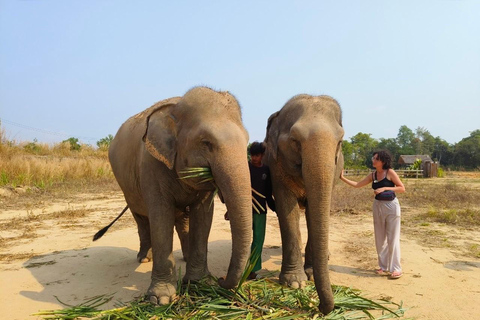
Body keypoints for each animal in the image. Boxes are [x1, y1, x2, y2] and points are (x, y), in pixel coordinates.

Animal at [107, 87, 253, 304]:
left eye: (247, 141)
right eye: (206, 142)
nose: (221, 279)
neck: (176, 109)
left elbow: (203, 216)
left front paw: (198, 284)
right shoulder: (151, 164)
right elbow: (161, 217)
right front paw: (160, 299)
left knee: (182, 220)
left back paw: (185, 257)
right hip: (126, 187)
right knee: (141, 218)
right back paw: (144, 258)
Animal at [264, 94, 344, 314]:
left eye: (340, 141)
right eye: (295, 141)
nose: (320, 307)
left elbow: (314, 212)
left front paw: (310, 273)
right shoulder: (276, 165)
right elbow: (287, 210)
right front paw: (294, 283)